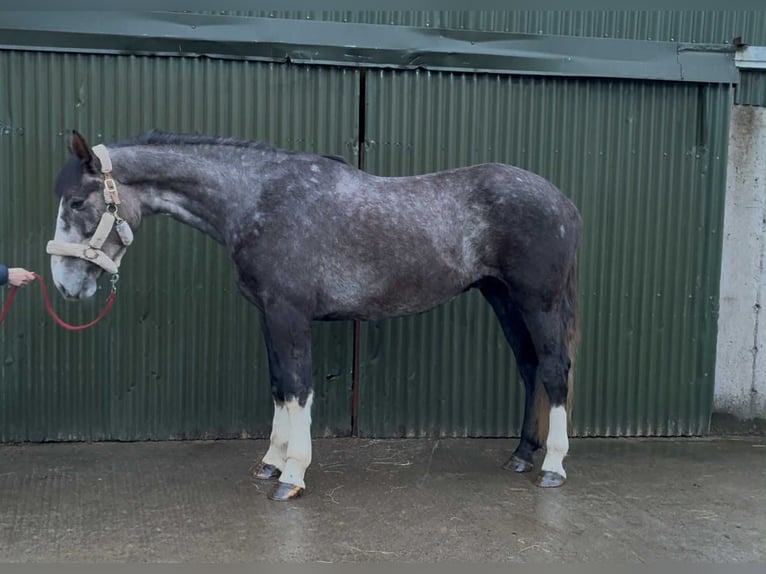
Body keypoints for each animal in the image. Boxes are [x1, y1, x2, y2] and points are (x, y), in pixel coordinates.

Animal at [47, 130, 581, 501]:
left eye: (76, 201)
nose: (66, 285)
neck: (258, 199)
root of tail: (561, 202)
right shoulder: (268, 315)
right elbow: (280, 386)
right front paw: (271, 461)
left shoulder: (289, 315)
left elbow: (299, 387)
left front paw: (292, 474)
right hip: (503, 299)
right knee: (530, 368)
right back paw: (522, 455)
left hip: (538, 303)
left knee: (555, 370)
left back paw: (553, 466)